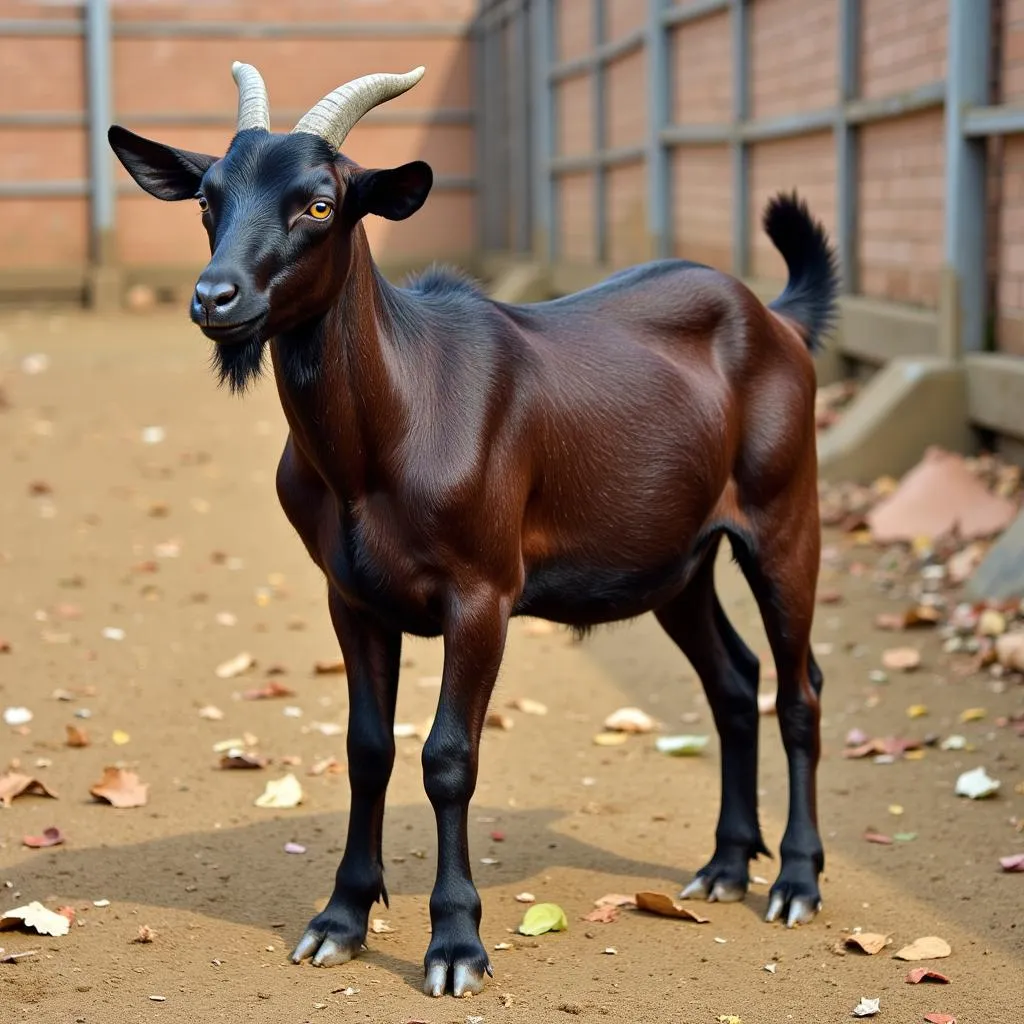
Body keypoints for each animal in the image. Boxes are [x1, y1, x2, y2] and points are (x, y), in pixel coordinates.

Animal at [105, 59, 839, 995]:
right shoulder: (352, 596)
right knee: (736, 681)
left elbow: (449, 757)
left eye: (320, 204)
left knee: (800, 687)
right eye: (207, 199)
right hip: (675, 562)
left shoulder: (482, 591)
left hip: (784, 515)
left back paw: (795, 881)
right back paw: (723, 867)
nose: (214, 297)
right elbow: (368, 748)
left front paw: (455, 944)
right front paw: (340, 919)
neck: (389, 429)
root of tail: (777, 317)